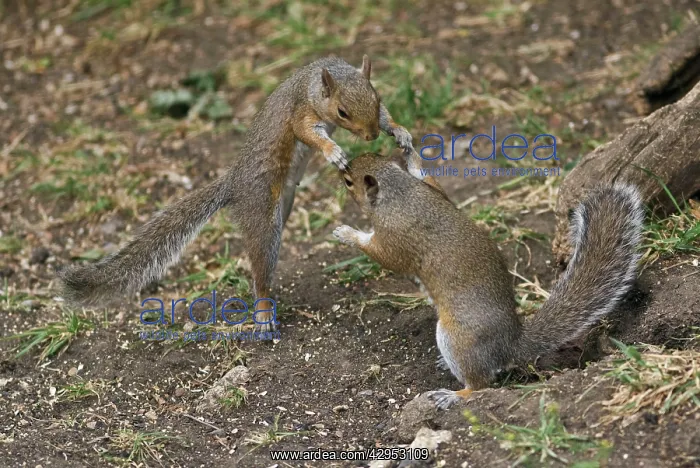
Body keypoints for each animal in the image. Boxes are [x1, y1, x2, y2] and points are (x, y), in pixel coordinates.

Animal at [59, 56, 414, 332]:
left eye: (377, 98)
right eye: (341, 112)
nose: (370, 136)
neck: (319, 80)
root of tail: (233, 185)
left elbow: (389, 121)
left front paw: (400, 131)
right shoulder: (301, 112)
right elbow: (306, 133)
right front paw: (333, 152)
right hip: (261, 216)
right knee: (260, 266)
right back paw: (263, 312)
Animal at [333, 151, 644, 409]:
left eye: (349, 181)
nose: (340, 171)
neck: (399, 193)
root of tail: (511, 345)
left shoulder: (395, 238)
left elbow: (384, 256)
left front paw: (347, 233)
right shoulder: (434, 193)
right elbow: (435, 184)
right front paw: (412, 157)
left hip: (457, 337)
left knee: (481, 384)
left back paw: (454, 395)